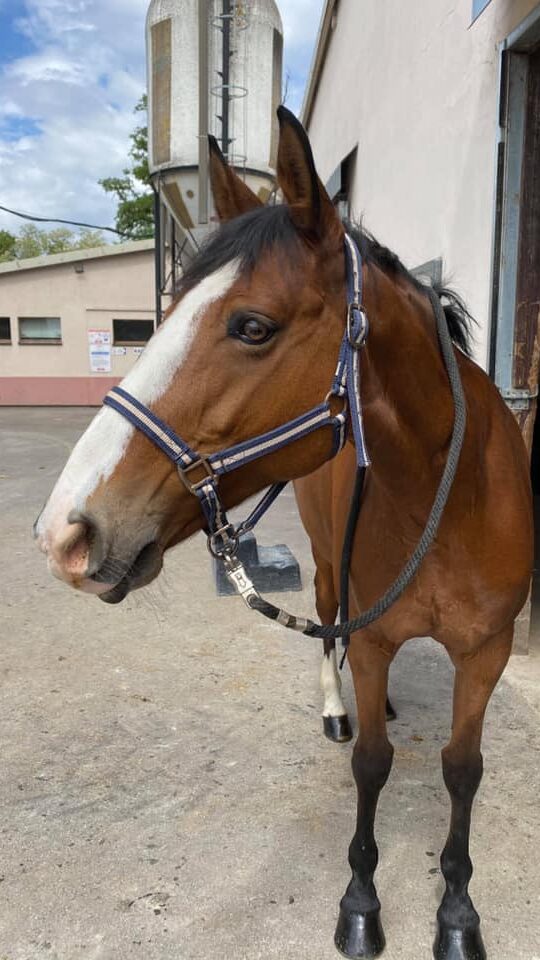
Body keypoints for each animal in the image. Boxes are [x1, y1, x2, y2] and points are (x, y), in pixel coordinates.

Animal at [34, 109, 532, 956]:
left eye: (253, 326)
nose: (66, 531)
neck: (450, 496)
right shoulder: (375, 635)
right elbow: (370, 762)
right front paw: (361, 903)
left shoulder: (487, 651)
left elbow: (463, 769)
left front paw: (459, 913)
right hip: (329, 567)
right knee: (328, 631)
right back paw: (339, 705)